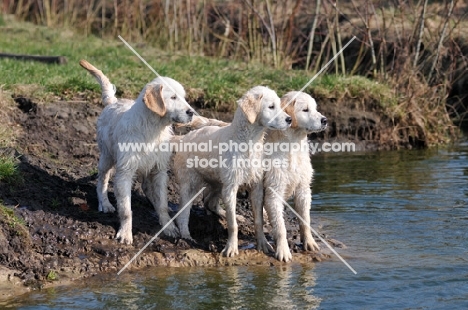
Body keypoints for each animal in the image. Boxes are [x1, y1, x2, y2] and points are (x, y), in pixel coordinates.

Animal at [79, 60, 193, 245]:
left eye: (183, 97)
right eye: (173, 97)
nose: (191, 113)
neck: (152, 129)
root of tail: (113, 102)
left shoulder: (160, 170)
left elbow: (162, 203)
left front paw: (168, 227)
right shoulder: (125, 171)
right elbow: (126, 209)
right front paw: (125, 233)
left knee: (147, 187)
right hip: (106, 156)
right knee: (102, 180)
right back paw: (105, 203)